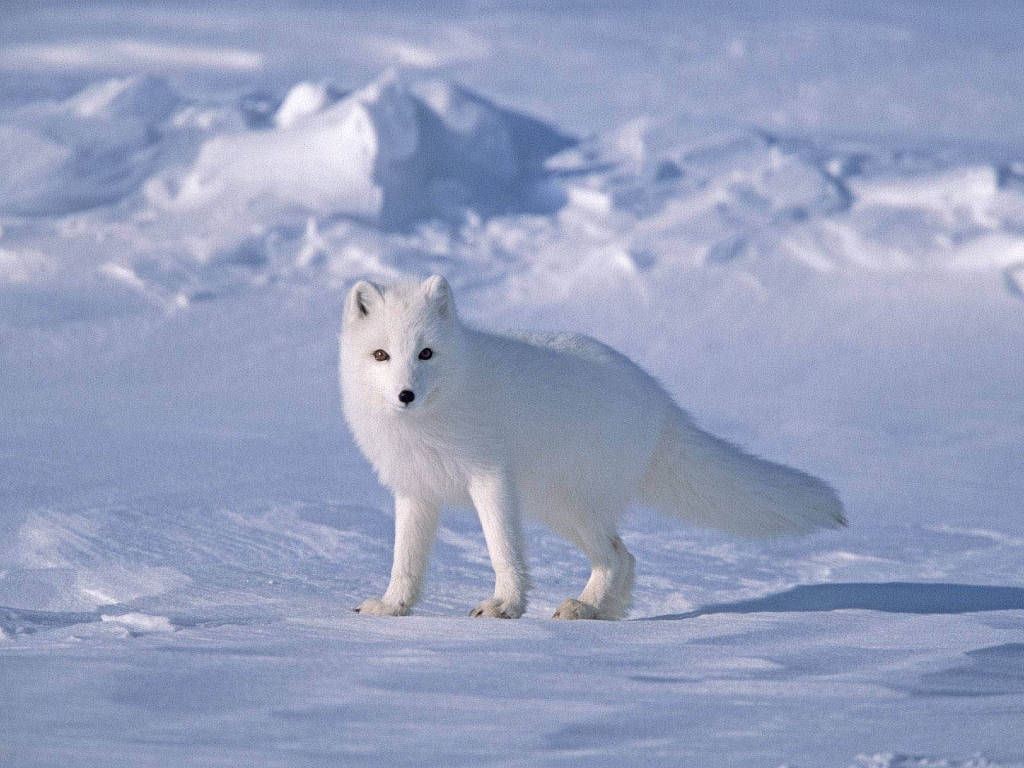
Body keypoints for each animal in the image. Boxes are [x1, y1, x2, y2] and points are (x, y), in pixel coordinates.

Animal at [340, 275, 846, 620]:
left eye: (426, 353)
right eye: (381, 355)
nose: (405, 394)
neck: (431, 419)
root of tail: (661, 401)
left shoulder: (490, 479)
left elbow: (503, 550)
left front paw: (505, 606)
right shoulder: (415, 490)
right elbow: (405, 561)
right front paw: (392, 607)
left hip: (570, 506)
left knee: (617, 555)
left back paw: (585, 608)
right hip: (558, 508)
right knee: (625, 556)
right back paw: (602, 611)